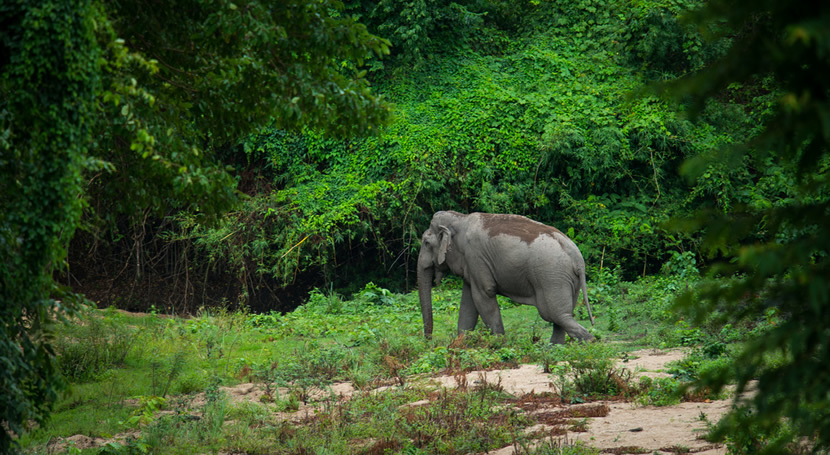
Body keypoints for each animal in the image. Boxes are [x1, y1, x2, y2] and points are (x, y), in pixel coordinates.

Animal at [420, 212, 596, 344]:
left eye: (426, 242)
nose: (429, 341)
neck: (461, 218)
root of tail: (578, 259)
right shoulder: (471, 264)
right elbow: (468, 304)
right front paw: (461, 345)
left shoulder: (476, 257)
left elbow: (483, 295)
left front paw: (498, 344)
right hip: (568, 280)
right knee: (562, 315)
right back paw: (553, 348)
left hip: (551, 277)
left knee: (555, 314)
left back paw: (588, 342)